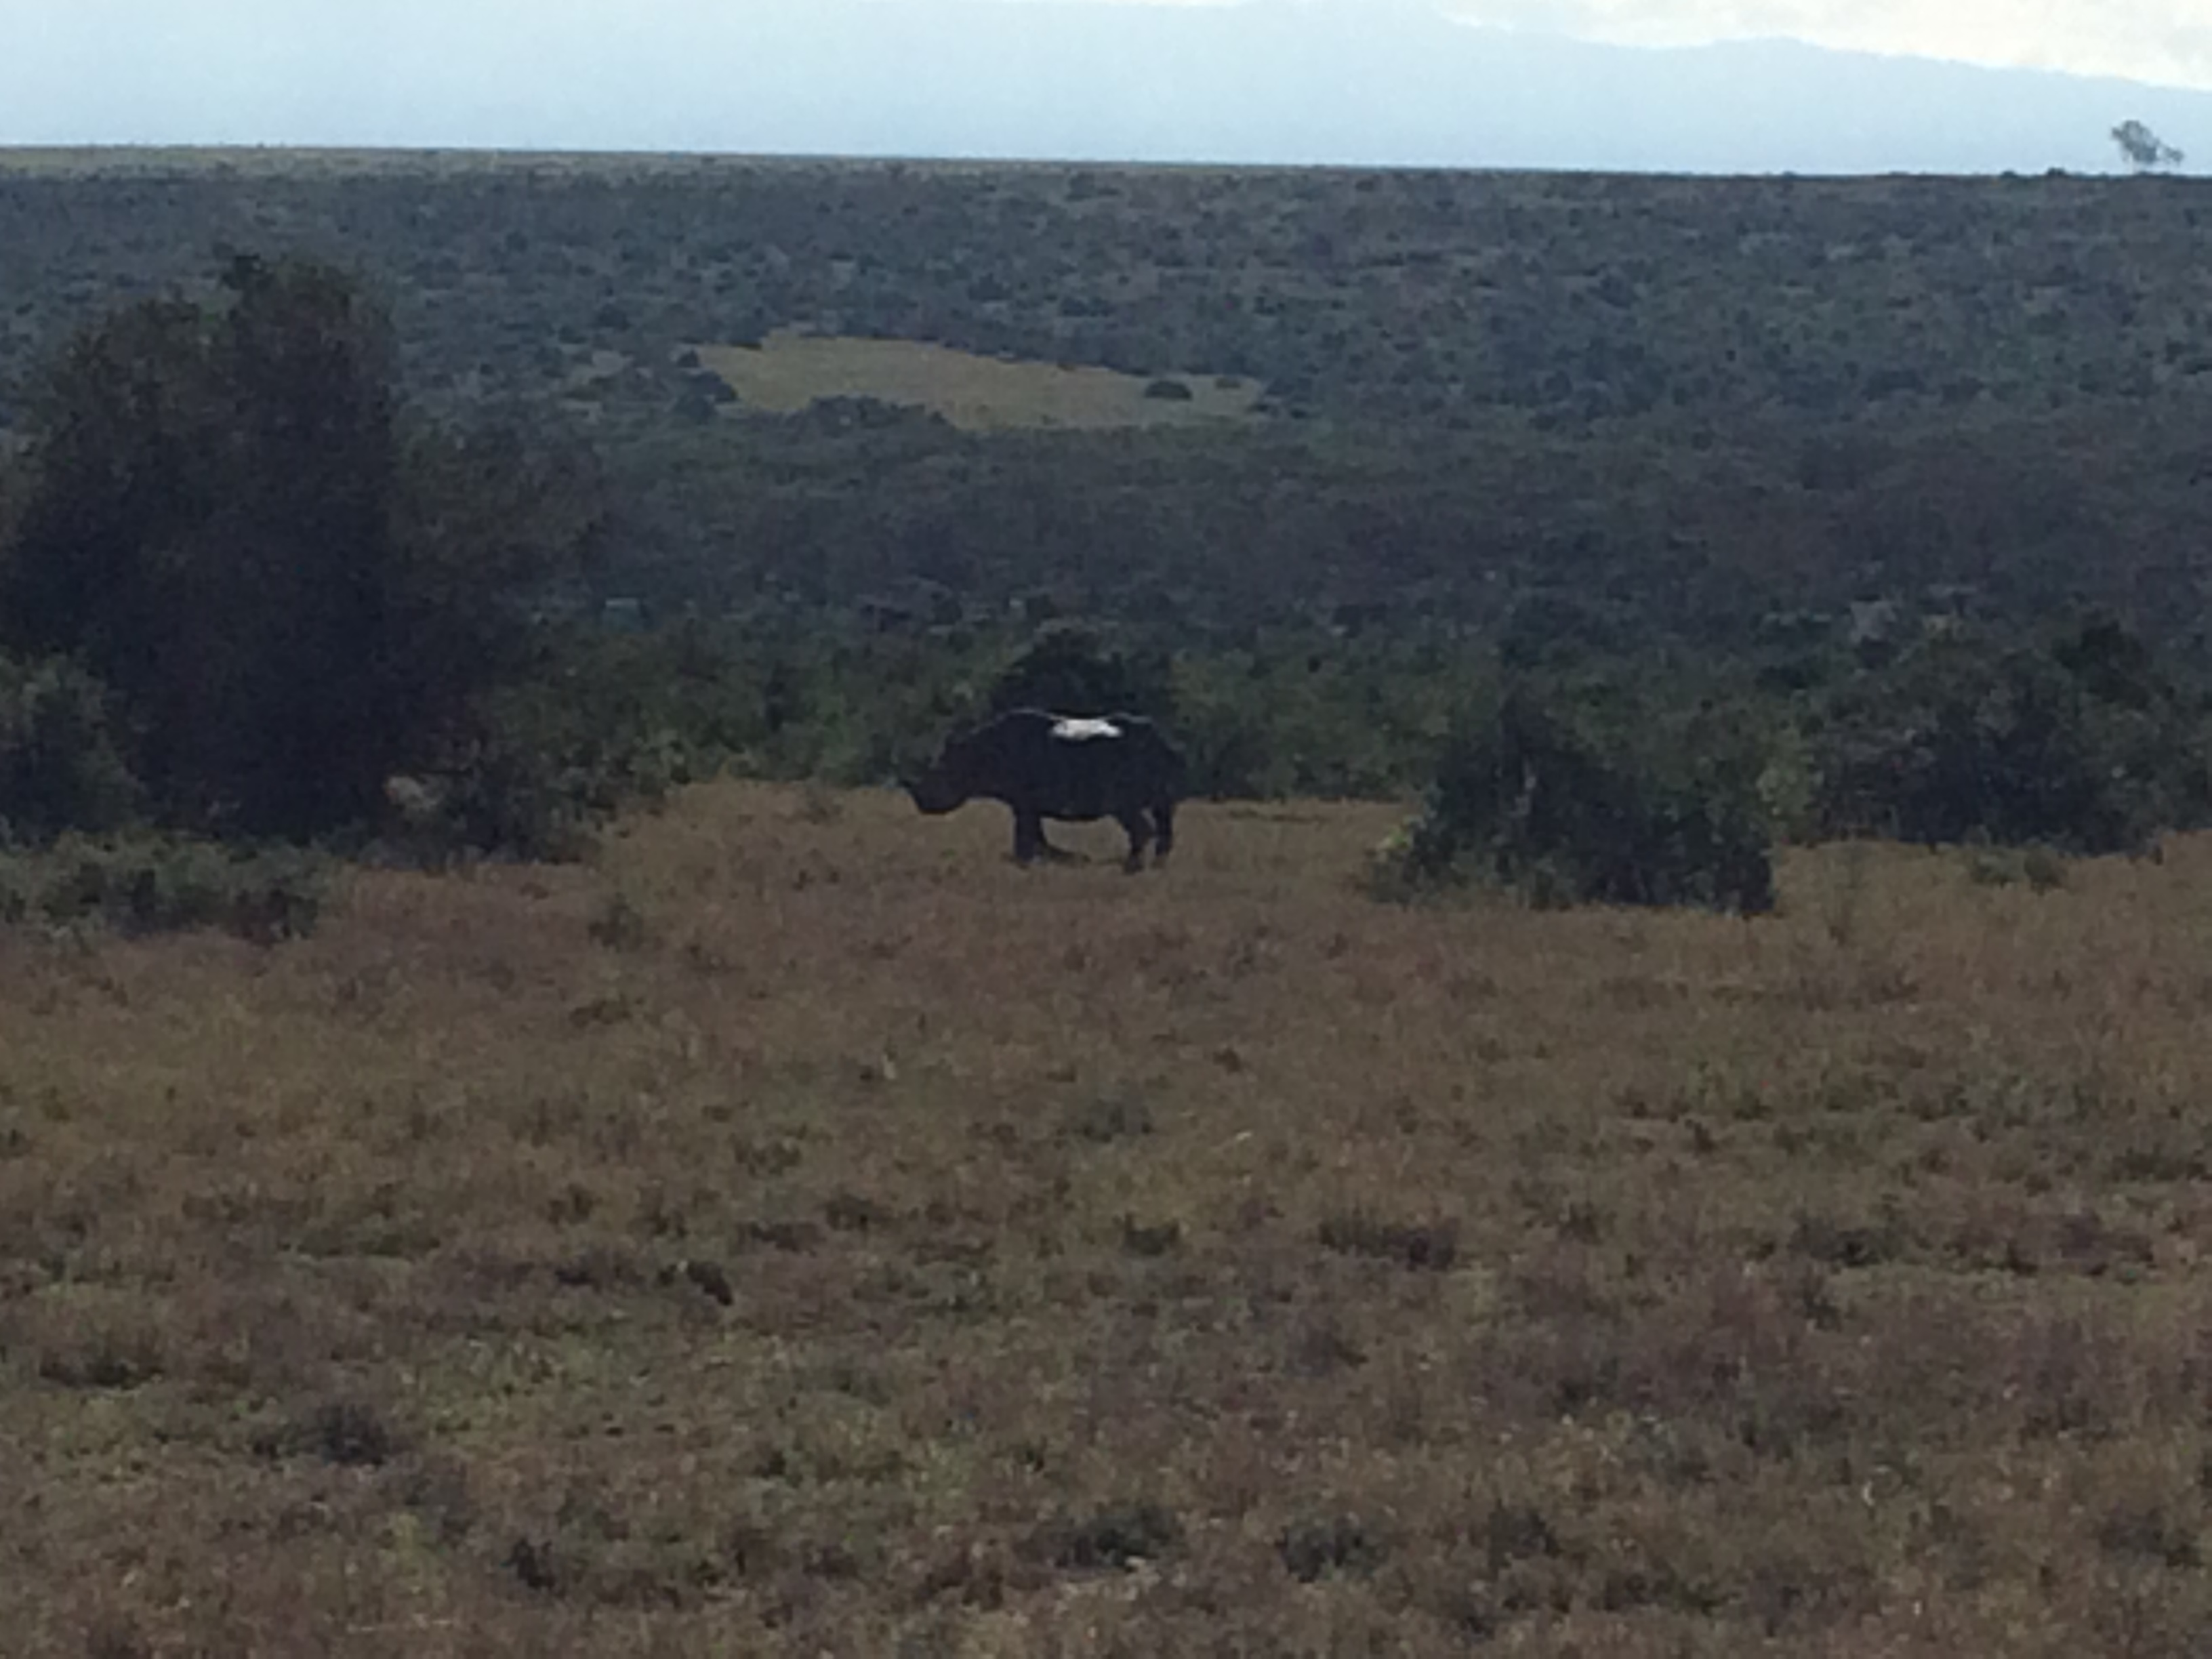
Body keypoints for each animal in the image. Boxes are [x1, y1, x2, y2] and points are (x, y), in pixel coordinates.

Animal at [905, 709, 1186, 871]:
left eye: (941, 773)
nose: (921, 801)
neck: (977, 754)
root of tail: (1164, 743)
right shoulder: (1027, 805)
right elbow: (1037, 835)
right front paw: (1061, 859)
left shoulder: (1023, 802)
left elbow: (1025, 834)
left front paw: (1029, 863)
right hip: (1157, 794)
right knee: (1164, 823)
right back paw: (1157, 866)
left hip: (1122, 796)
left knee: (1139, 824)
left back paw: (1131, 868)